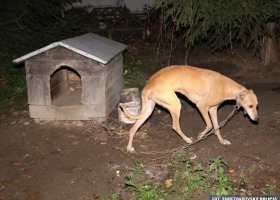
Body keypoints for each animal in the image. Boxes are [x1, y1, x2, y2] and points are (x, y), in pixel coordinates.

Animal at [120, 65, 258, 152]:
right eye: (250, 106)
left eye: (257, 105)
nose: (256, 120)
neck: (226, 86)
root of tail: (148, 84)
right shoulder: (202, 106)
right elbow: (209, 125)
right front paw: (200, 136)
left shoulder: (213, 109)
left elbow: (217, 128)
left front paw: (222, 141)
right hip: (175, 105)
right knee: (175, 126)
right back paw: (187, 140)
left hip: (149, 110)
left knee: (133, 129)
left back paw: (129, 148)